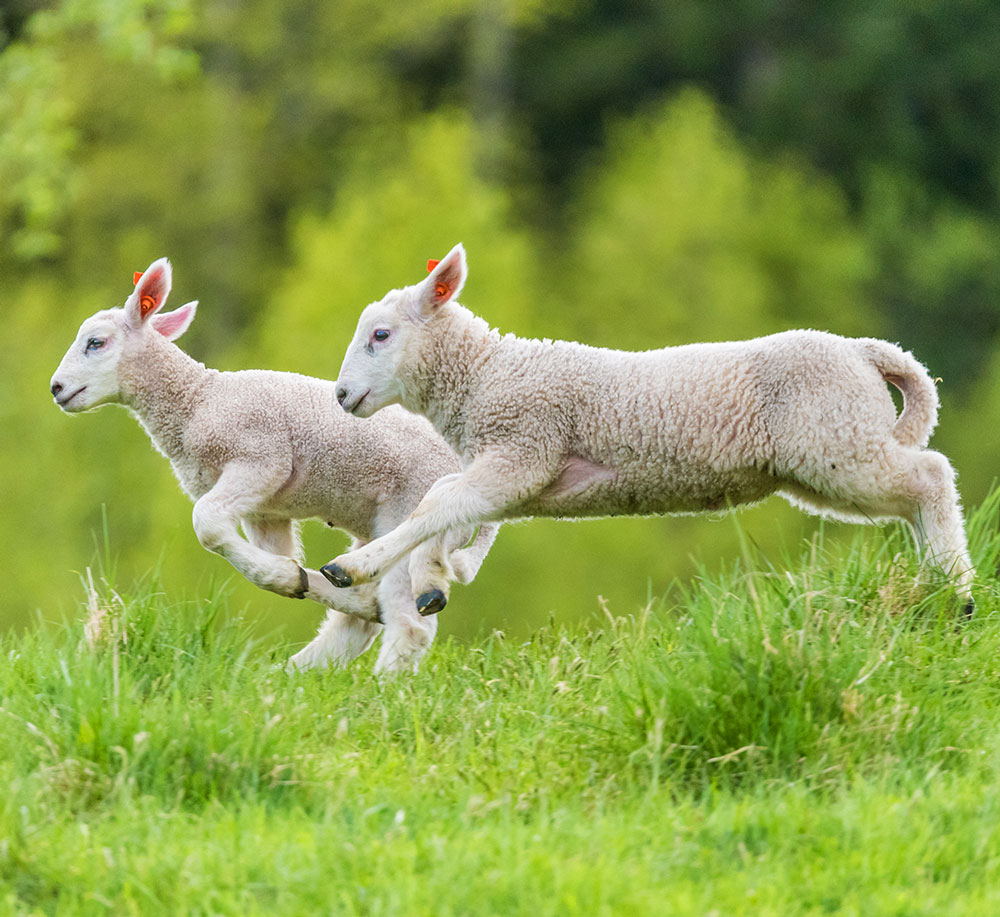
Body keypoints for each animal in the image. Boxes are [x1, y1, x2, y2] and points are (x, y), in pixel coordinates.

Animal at [49, 258, 496, 672]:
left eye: (95, 342)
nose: (56, 388)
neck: (197, 401)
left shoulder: (261, 458)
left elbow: (206, 524)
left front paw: (286, 577)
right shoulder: (265, 510)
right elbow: (261, 549)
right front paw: (289, 577)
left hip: (411, 512)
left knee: (408, 623)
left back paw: (381, 685)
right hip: (378, 525)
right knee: (363, 614)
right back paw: (300, 664)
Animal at [322, 243, 976, 616]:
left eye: (380, 335)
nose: (342, 396)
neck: (485, 374)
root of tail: (866, 351)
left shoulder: (524, 447)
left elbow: (436, 505)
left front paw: (352, 567)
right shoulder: (518, 474)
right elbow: (446, 507)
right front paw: (432, 581)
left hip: (835, 440)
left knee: (931, 476)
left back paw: (959, 592)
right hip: (827, 455)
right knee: (912, 494)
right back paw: (935, 588)